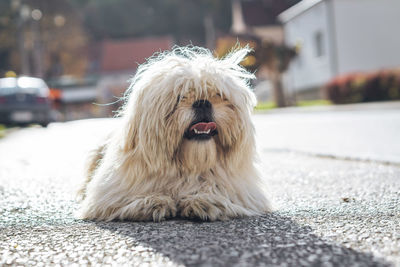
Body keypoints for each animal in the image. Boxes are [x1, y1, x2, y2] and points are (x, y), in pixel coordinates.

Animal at [77, 47, 272, 223]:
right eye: (179, 97)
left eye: (218, 94)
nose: (202, 102)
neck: (187, 167)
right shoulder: (110, 195)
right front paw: (152, 201)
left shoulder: (243, 191)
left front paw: (204, 199)